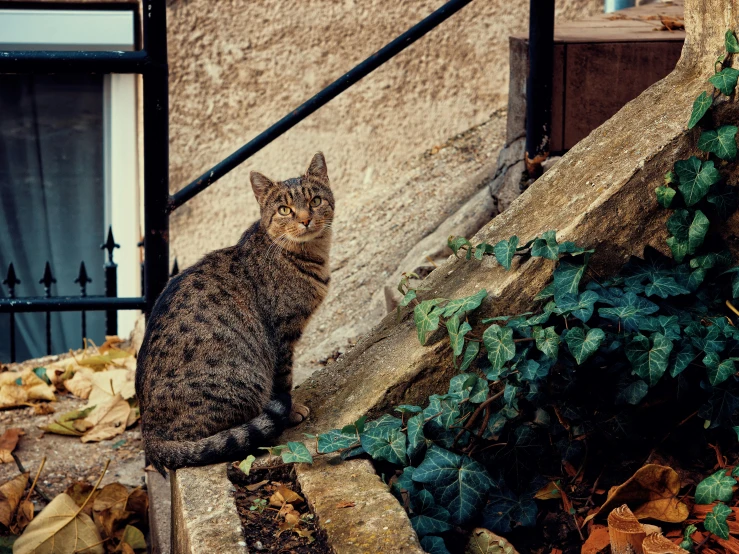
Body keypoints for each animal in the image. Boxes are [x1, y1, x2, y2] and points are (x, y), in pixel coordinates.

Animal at [137, 153, 336, 472]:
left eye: (315, 201)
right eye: (285, 210)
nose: (306, 220)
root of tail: (149, 435)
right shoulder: (281, 335)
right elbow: (284, 380)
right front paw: (292, 409)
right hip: (242, 383)